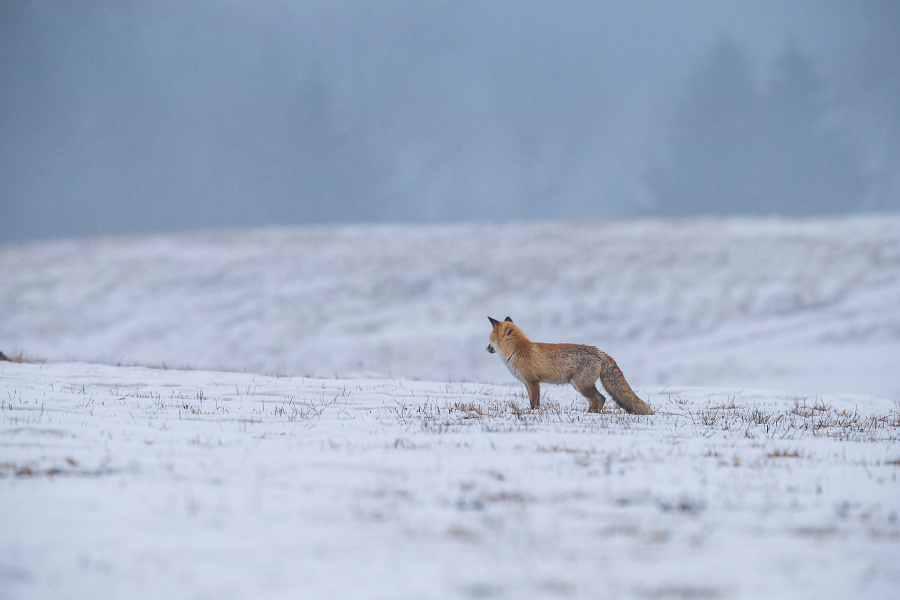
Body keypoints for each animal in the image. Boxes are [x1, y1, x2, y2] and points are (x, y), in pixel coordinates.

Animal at [486, 316, 652, 414]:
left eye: (490, 339)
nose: (486, 348)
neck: (516, 351)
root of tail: (598, 351)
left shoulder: (533, 382)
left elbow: (535, 403)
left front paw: (534, 414)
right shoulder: (526, 383)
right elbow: (531, 402)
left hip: (580, 385)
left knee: (597, 400)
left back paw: (589, 415)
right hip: (581, 385)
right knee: (602, 399)